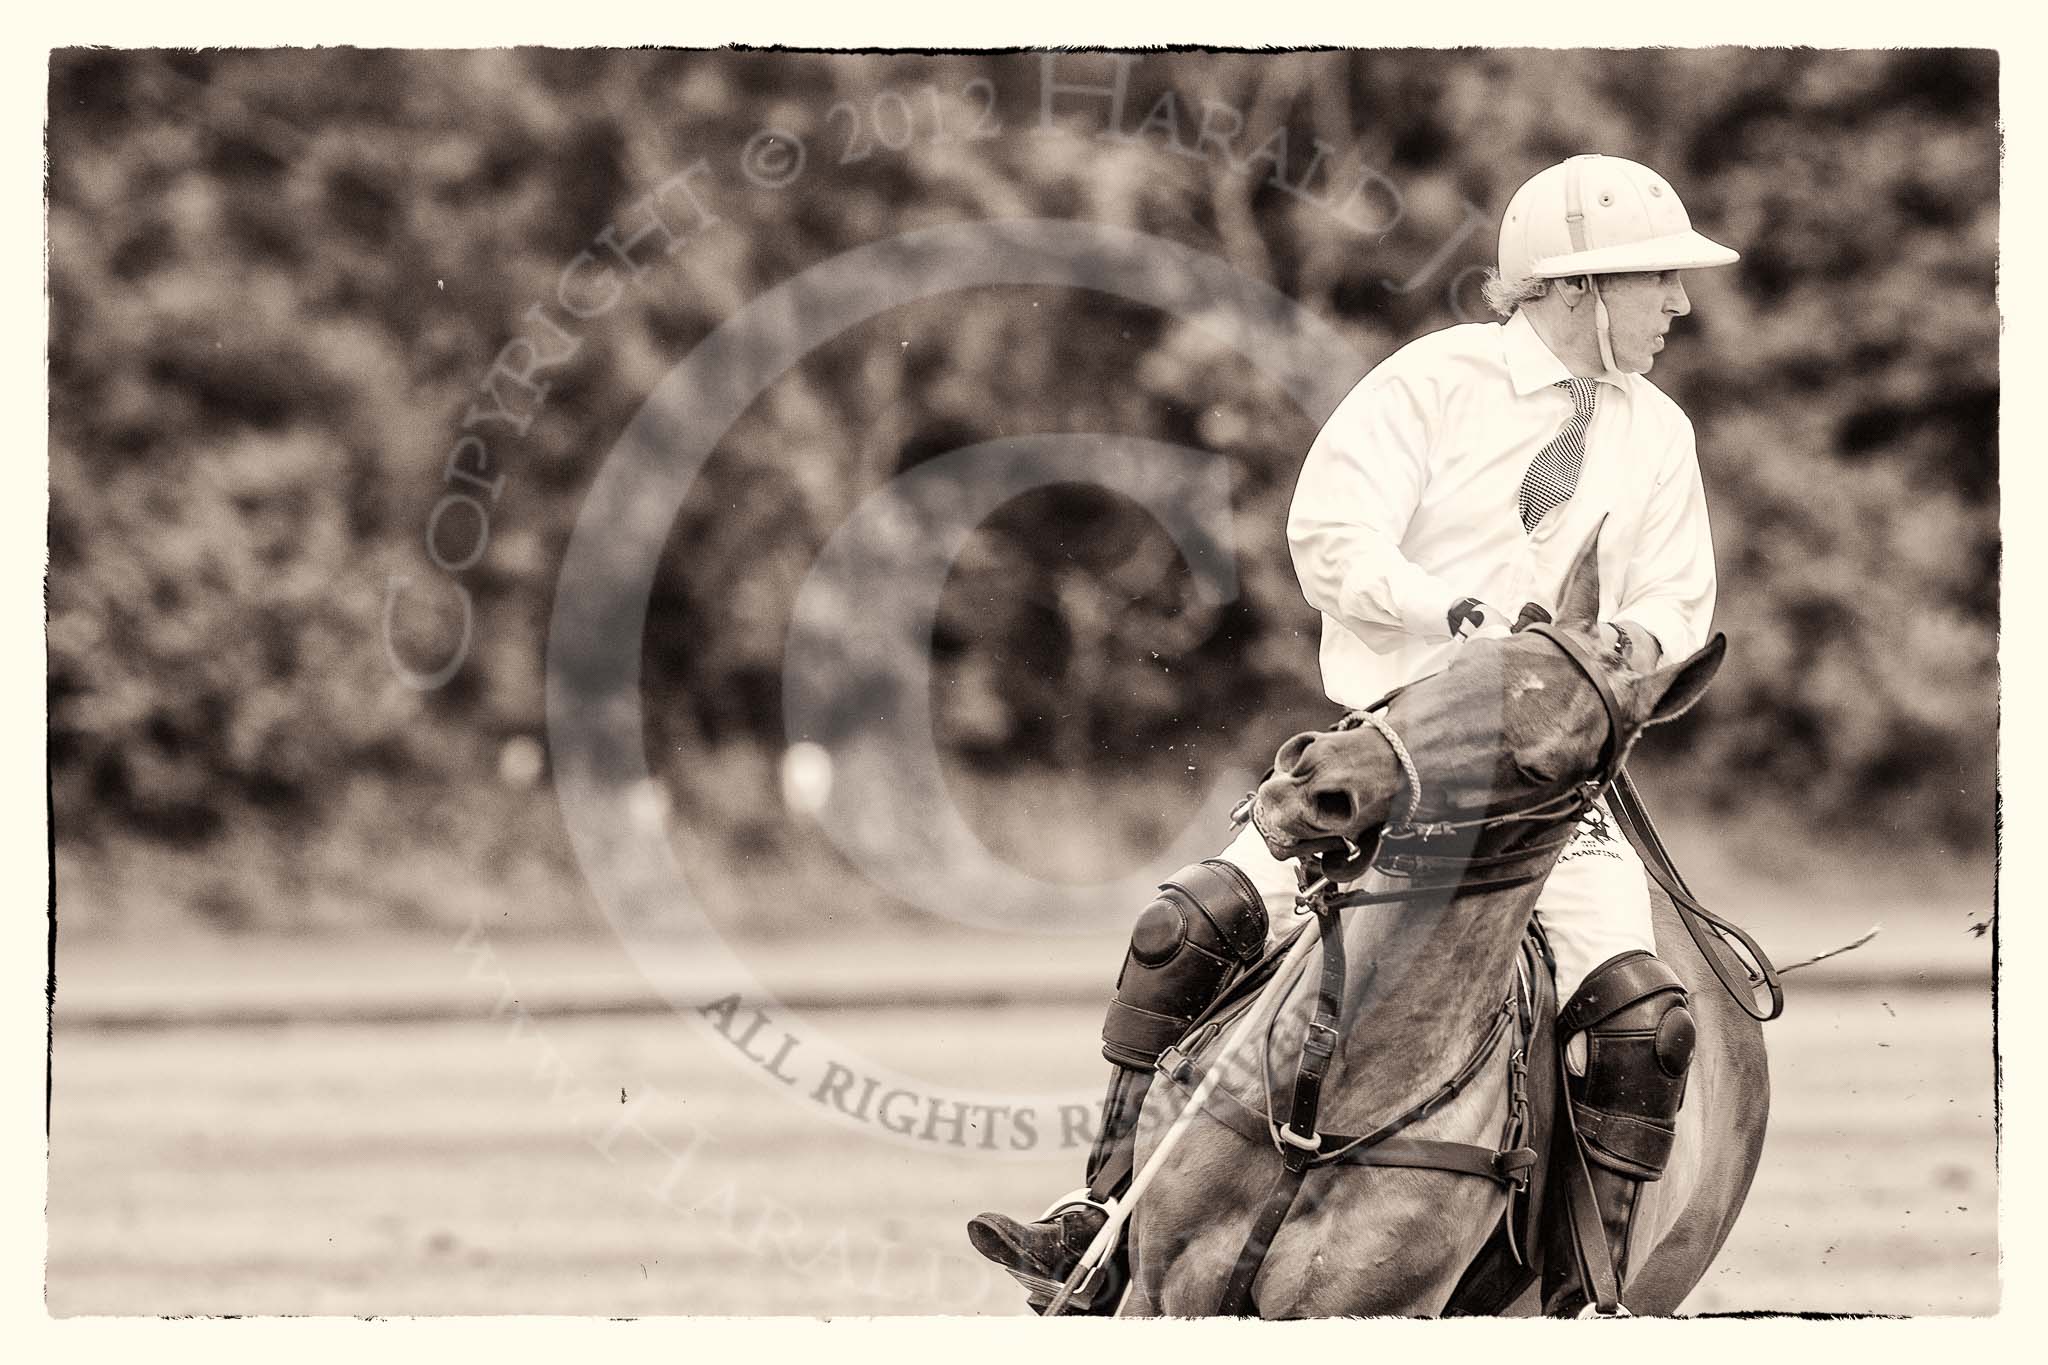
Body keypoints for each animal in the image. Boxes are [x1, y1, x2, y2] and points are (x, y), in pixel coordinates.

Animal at [1114, 527, 1769, 1317]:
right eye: (1457, 664)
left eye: (1540, 767)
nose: (1310, 785)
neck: (1319, 1105)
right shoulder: (1157, 1291)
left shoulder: (1363, 1308)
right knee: (1185, 917)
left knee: (1648, 1020)